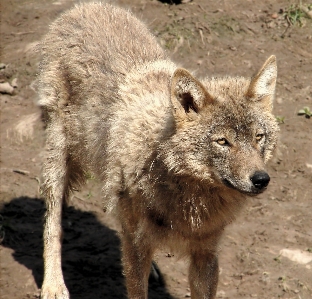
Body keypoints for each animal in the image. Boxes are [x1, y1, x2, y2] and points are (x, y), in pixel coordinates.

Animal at [38, 2, 278, 299]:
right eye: (223, 141)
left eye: (259, 137)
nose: (261, 179)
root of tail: (85, 6)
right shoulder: (136, 244)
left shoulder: (206, 253)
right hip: (57, 162)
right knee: (53, 224)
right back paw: (53, 285)